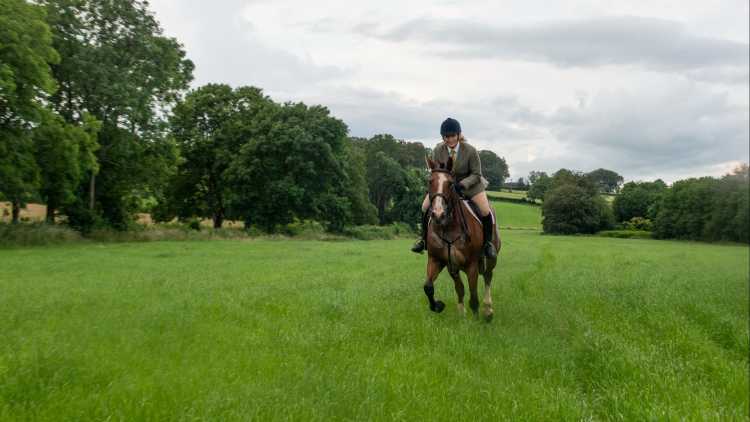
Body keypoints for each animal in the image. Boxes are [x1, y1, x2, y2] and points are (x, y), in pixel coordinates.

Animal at [424, 157, 500, 322]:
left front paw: (476, 321)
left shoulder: (471, 265)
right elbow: (429, 287)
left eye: (450, 183)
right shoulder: (439, 261)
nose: (438, 214)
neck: (448, 227)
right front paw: (439, 306)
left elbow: (473, 296)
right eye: (430, 181)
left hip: (491, 258)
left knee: (488, 277)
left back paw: (488, 310)